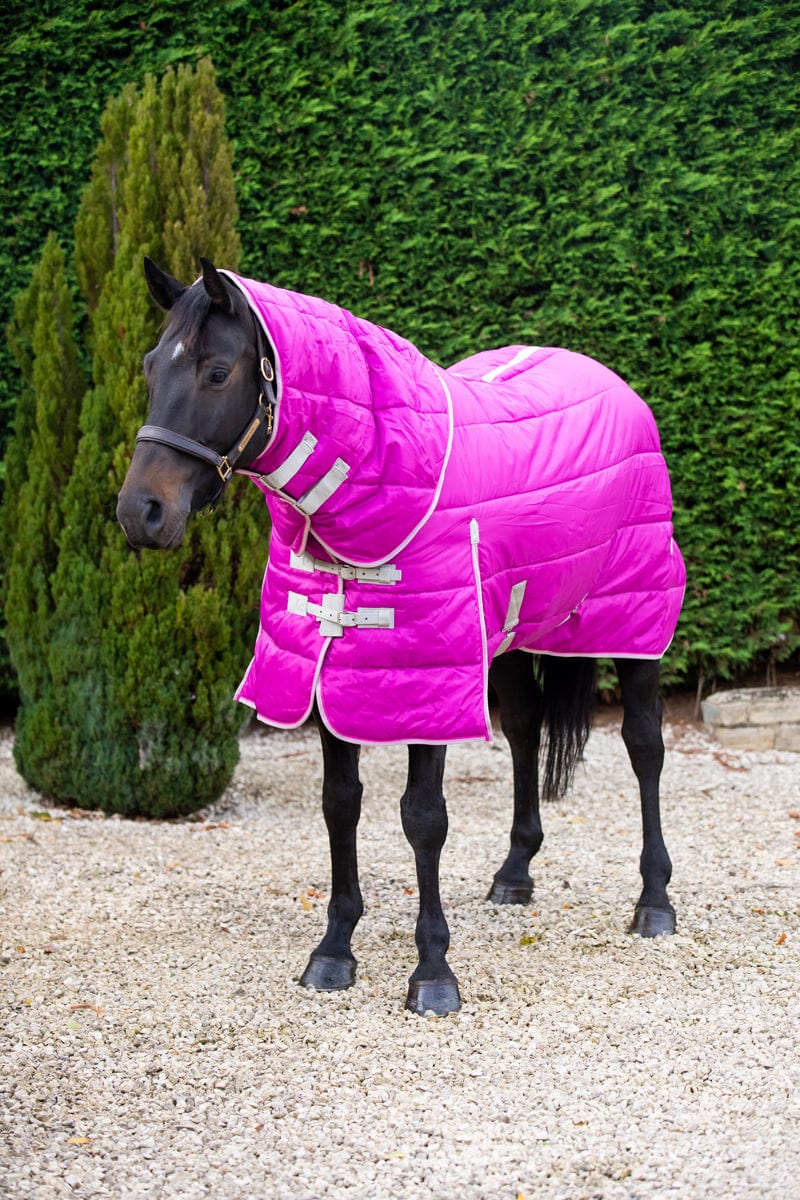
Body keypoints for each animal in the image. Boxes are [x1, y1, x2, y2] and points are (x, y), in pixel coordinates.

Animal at [117, 257, 684, 1016]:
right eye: (152, 366)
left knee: (645, 747)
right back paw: (515, 872)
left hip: (633, 621)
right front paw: (332, 952)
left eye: (216, 371)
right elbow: (340, 805)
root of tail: (615, 384)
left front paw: (433, 973)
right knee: (526, 729)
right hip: (505, 637)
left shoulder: (428, 679)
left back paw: (654, 902)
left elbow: (423, 818)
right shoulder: (328, 673)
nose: (141, 512)